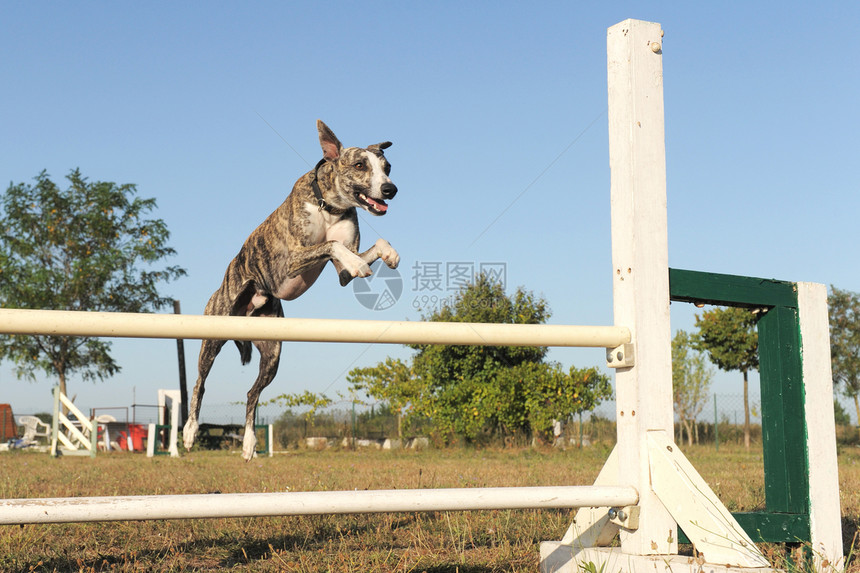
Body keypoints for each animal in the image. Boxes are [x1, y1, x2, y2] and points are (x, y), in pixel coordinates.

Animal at [183, 120, 398, 460]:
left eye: (387, 167)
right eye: (360, 165)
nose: (391, 189)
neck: (329, 206)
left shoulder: (341, 275)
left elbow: (368, 246)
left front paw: (389, 255)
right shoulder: (291, 260)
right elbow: (332, 244)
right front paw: (358, 262)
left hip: (272, 355)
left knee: (251, 394)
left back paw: (249, 443)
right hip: (213, 335)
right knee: (199, 384)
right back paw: (190, 432)